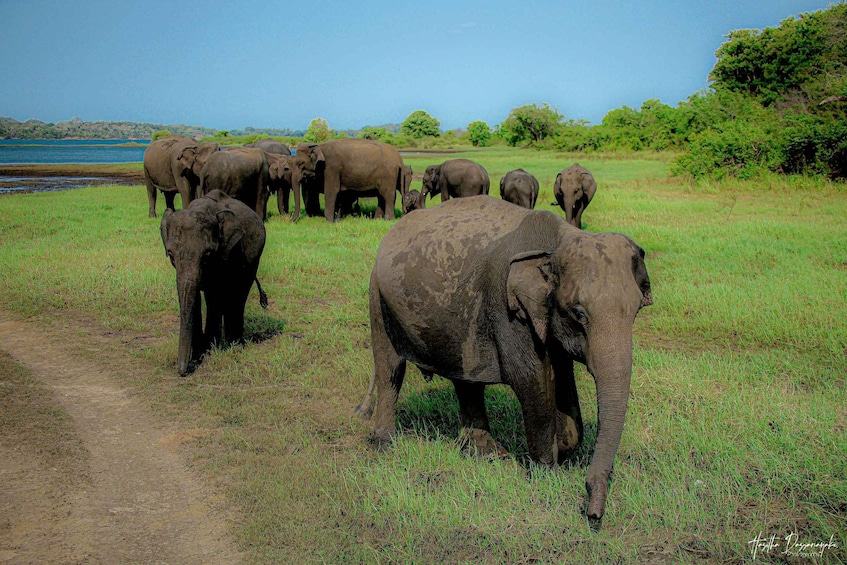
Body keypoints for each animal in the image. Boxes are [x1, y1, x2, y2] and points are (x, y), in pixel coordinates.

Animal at [160, 190, 268, 376]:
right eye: (171, 255)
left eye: (207, 255)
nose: (182, 372)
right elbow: (193, 296)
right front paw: (198, 353)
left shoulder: (223, 255)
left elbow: (213, 295)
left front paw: (209, 350)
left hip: (253, 259)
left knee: (238, 295)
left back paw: (234, 343)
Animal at [356, 195, 652, 522]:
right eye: (578, 313)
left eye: (636, 309)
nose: (593, 514)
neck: (558, 242)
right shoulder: (509, 311)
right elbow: (532, 380)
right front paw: (546, 476)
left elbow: (561, 376)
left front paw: (564, 448)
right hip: (378, 297)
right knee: (390, 369)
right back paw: (384, 447)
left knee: (466, 379)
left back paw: (486, 454)